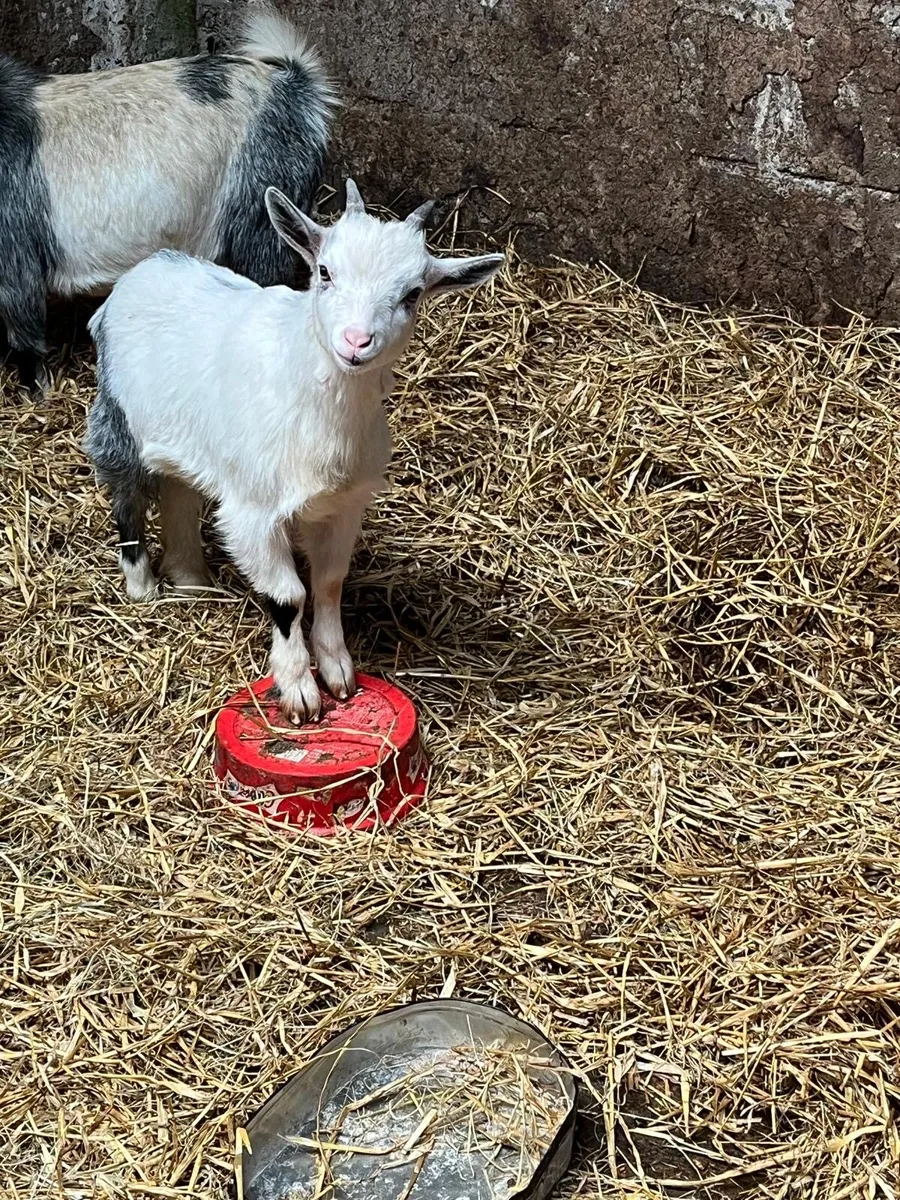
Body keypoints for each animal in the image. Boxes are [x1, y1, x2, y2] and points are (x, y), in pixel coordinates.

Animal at [84, 180, 505, 722]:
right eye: (324, 271)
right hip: (116, 421)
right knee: (127, 498)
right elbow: (287, 596)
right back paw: (142, 587)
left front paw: (339, 670)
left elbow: (328, 582)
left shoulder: (344, 505)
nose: (356, 341)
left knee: (180, 492)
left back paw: (193, 581)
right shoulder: (253, 511)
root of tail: (149, 266)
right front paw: (299, 689)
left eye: (412, 294)